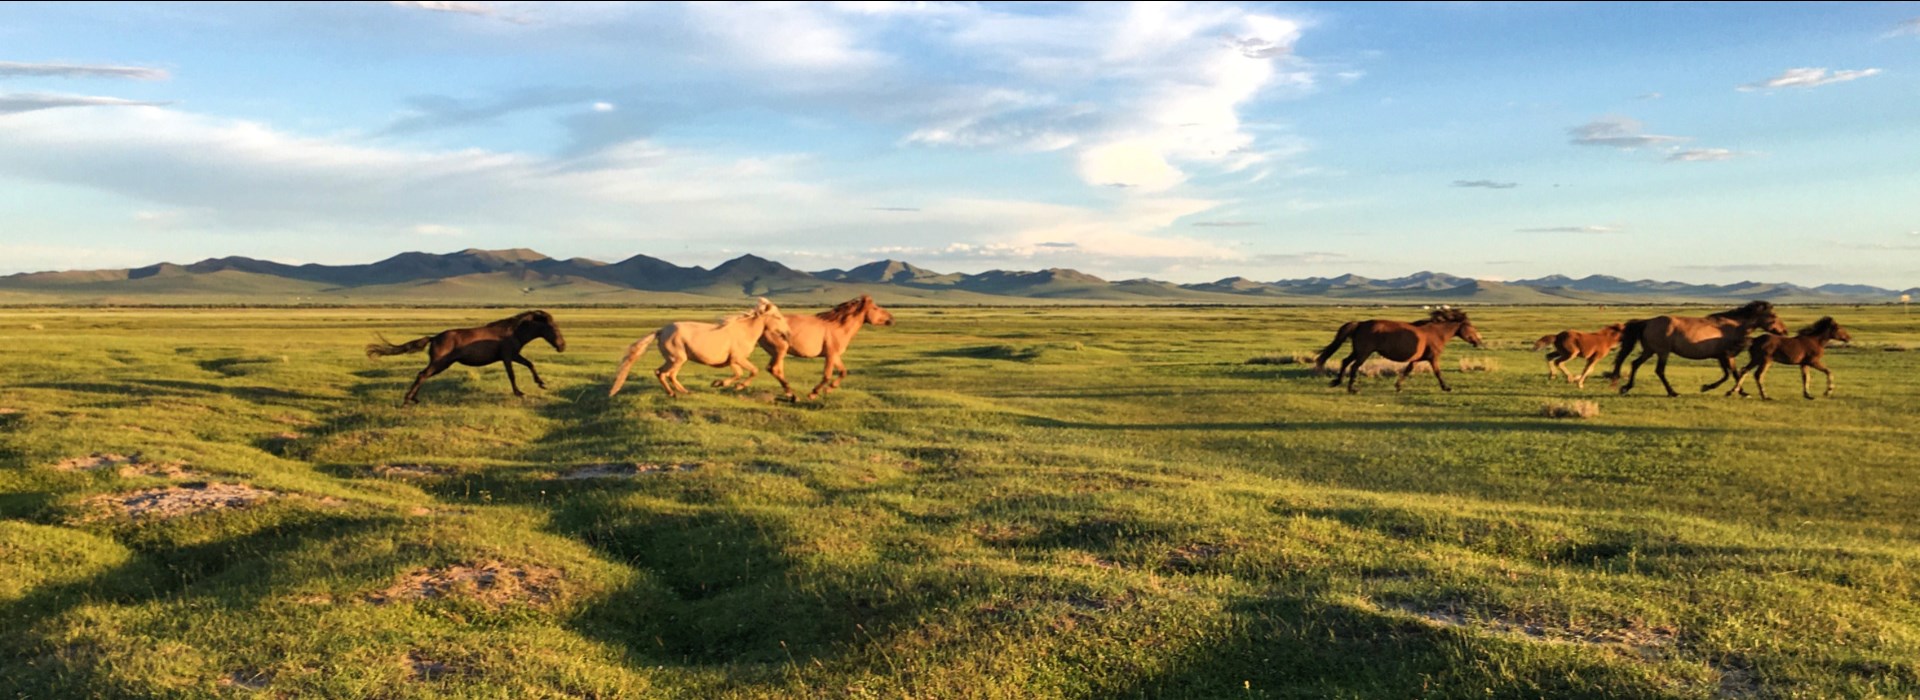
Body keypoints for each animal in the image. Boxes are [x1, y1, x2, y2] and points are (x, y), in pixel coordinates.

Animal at [365, 310, 566, 405]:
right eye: (553, 328)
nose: (562, 346)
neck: (512, 332)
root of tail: (434, 338)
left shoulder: (514, 355)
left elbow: (530, 364)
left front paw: (541, 383)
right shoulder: (508, 356)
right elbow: (512, 375)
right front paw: (519, 392)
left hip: (442, 364)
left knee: (421, 375)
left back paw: (413, 399)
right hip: (440, 363)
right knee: (422, 375)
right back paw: (408, 400)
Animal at [608, 298, 792, 398]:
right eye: (778, 317)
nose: (788, 333)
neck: (744, 332)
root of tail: (661, 331)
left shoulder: (733, 361)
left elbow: (741, 373)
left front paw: (720, 383)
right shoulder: (737, 359)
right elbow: (751, 371)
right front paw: (730, 385)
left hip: (671, 359)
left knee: (660, 372)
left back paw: (675, 392)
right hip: (678, 358)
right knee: (669, 374)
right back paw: (682, 392)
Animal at [759, 294, 895, 401]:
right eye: (875, 308)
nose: (892, 319)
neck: (838, 327)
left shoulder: (835, 355)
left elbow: (843, 372)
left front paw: (829, 390)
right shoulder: (830, 355)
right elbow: (827, 375)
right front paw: (813, 393)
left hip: (777, 353)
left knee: (777, 370)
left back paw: (791, 395)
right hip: (780, 350)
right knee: (774, 369)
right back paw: (793, 396)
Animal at [1313, 308, 1484, 393]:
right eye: (1471, 327)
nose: (1478, 341)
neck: (1436, 333)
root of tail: (1360, 324)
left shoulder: (1415, 360)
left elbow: (1407, 371)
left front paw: (1398, 387)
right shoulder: (1433, 358)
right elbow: (1438, 373)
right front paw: (1446, 388)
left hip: (1357, 351)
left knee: (1345, 362)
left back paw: (1337, 382)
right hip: (1364, 353)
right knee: (1354, 366)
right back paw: (1352, 389)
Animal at [1608, 300, 1787, 397]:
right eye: (1774, 316)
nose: (1785, 331)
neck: (1731, 326)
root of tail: (1648, 321)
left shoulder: (1724, 357)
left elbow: (1732, 373)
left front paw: (1740, 392)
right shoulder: (1725, 356)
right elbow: (1730, 374)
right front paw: (1709, 388)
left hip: (1649, 351)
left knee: (1635, 364)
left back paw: (1626, 387)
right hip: (1662, 352)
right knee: (1659, 371)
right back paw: (1673, 392)